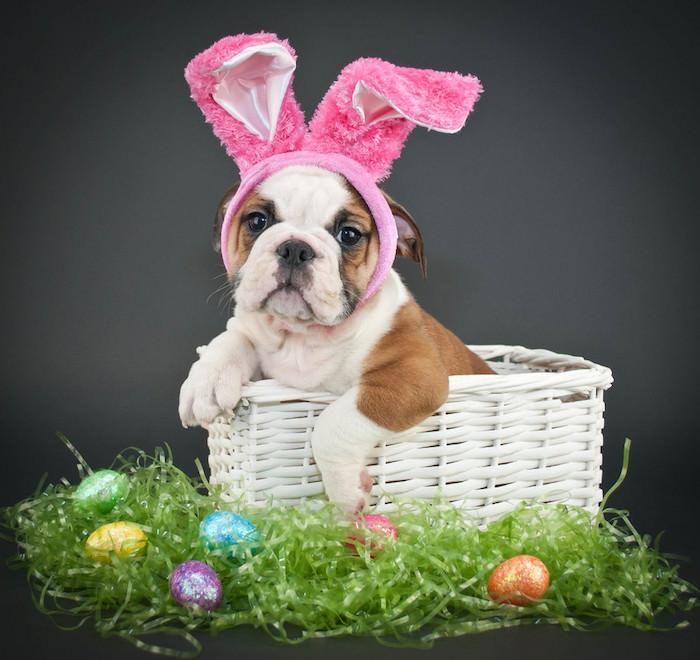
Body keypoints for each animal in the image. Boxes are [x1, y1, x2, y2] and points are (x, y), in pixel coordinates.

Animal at [178, 166, 494, 516]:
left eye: (349, 235)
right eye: (258, 221)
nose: (295, 248)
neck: (303, 336)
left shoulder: (414, 376)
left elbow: (331, 424)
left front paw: (346, 491)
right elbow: (233, 337)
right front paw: (207, 381)